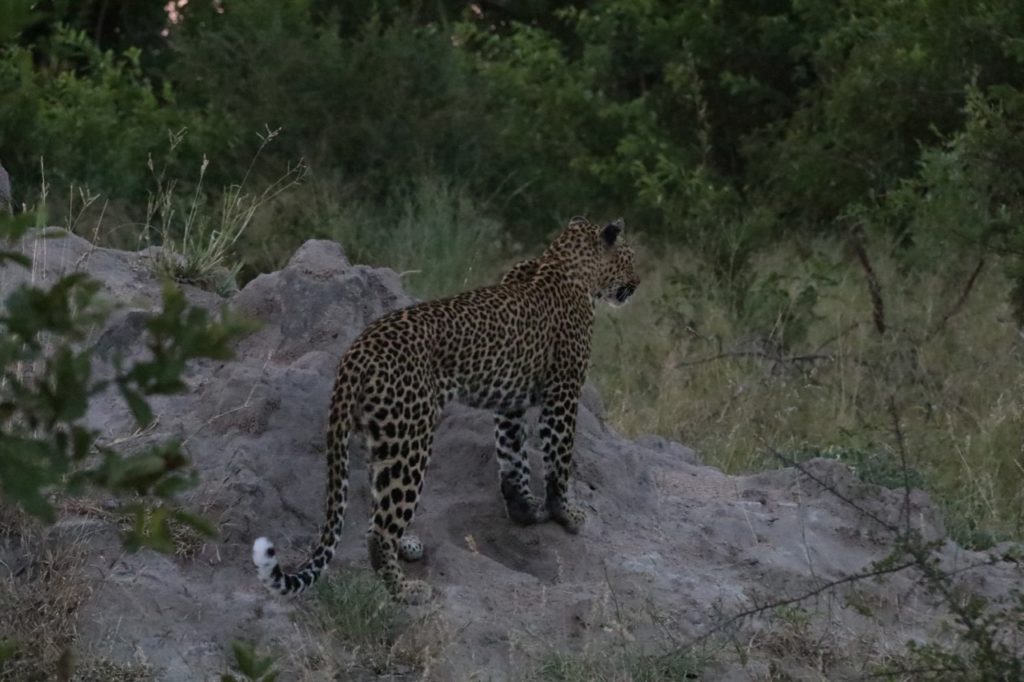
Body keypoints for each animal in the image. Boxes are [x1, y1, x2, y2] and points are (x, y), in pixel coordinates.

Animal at [253, 214, 638, 602]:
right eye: (631, 257)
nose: (637, 284)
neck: (563, 262)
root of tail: (356, 352)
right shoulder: (563, 391)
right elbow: (558, 458)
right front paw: (567, 514)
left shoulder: (510, 403)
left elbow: (512, 458)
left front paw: (525, 510)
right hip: (410, 439)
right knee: (380, 528)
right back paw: (405, 590)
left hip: (382, 439)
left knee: (377, 510)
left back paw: (407, 546)